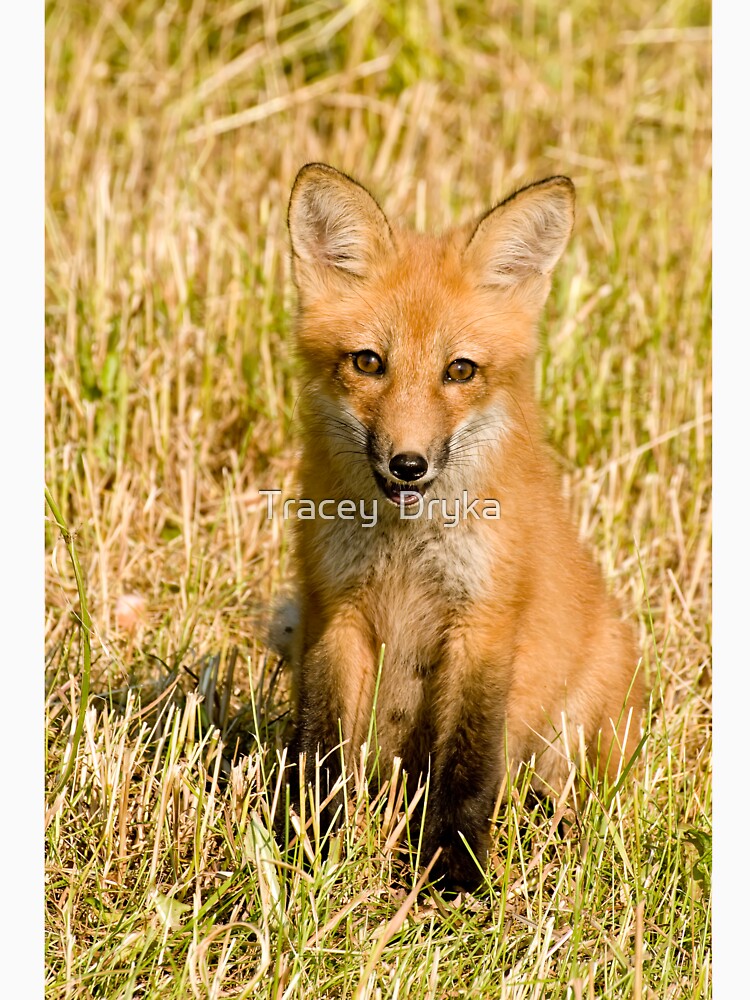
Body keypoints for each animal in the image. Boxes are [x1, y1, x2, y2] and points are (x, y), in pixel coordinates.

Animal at [279, 162, 643, 889]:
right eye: (368, 362)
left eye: (460, 370)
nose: (408, 464)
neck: (405, 550)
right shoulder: (336, 614)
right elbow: (323, 753)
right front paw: (315, 849)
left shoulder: (484, 623)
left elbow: (469, 762)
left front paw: (454, 871)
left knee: (552, 786)